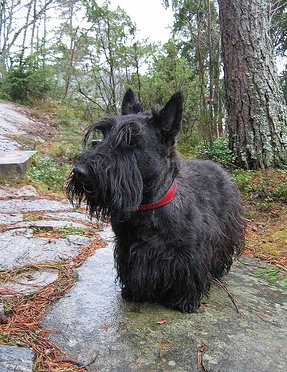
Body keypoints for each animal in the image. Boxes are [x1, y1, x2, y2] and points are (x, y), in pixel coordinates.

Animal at [67, 90, 245, 314]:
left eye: (131, 140)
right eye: (104, 134)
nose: (80, 172)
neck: (148, 207)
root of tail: (219, 168)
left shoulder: (189, 254)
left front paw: (185, 301)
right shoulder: (126, 248)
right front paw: (132, 291)